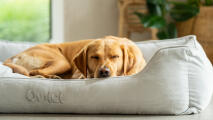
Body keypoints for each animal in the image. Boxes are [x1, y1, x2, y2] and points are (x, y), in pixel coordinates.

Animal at [3, 35, 146, 79]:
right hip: (62, 62)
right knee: (33, 72)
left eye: (115, 56)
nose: (104, 72)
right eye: (94, 57)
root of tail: (15, 55)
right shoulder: (78, 73)